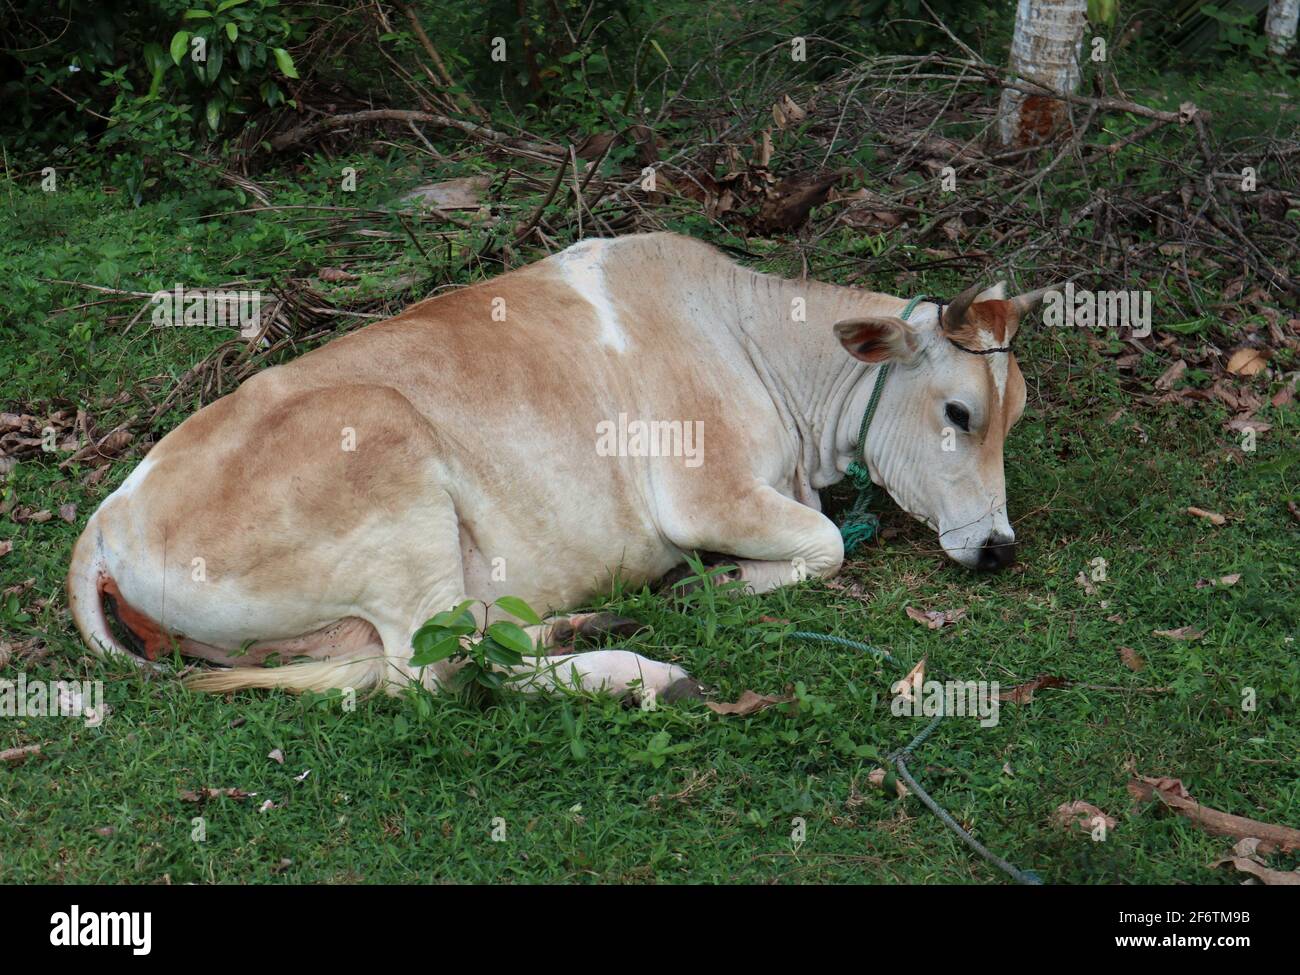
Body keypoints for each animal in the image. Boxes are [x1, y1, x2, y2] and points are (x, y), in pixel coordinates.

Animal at [65, 235, 1050, 702]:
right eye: (959, 413)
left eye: (1013, 414)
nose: (999, 547)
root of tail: (104, 523)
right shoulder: (703, 493)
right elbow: (825, 545)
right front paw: (719, 582)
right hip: (386, 460)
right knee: (440, 668)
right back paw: (644, 672)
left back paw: (588, 623)